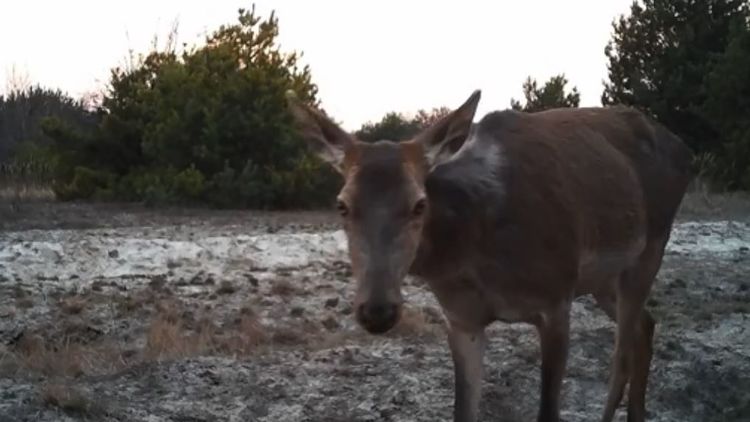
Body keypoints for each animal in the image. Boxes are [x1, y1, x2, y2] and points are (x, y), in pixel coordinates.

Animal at [285, 88, 693, 422]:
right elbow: (462, 411)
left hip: (650, 246)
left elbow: (548, 413)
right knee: (646, 326)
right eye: (342, 205)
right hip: (602, 279)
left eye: (419, 204)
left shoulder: (557, 297)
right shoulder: (461, 317)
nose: (377, 311)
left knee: (621, 355)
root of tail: (681, 146)